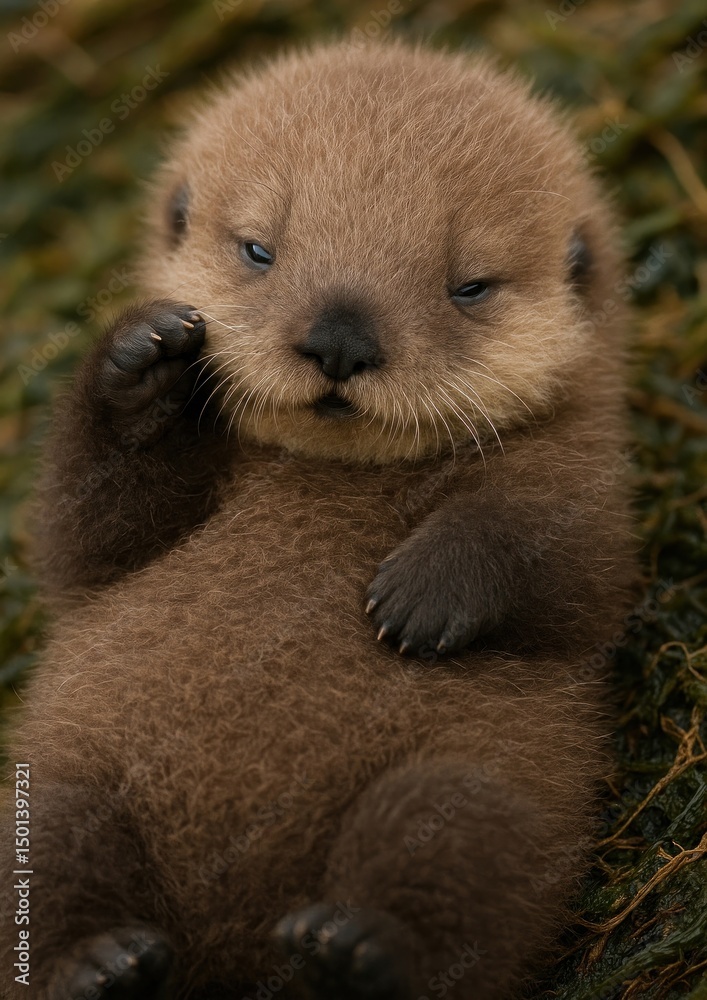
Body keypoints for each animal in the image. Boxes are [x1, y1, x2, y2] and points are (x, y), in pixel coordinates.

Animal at [0, 40, 634, 1000]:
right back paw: (101, 964)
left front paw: (419, 597)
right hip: (55, 791)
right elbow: (86, 532)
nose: (339, 338)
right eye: (259, 250)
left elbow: (566, 551)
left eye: (468, 285)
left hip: (472, 794)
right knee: (55, 871)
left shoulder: (588, 466)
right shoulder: (105, 537)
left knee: (454, 886)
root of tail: (235, 952)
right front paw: (143, 357)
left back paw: (356, 949)